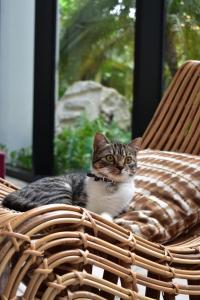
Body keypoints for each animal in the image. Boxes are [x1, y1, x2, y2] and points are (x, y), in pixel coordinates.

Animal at [2, 132, 141, 219]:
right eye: (109, 157)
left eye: (128, 159)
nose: (120, 167)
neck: (110, 184)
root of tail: (17, 191)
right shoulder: (81, 202)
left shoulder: (117, 210)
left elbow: (109, 216)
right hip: (60, 188)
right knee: (63, 207)